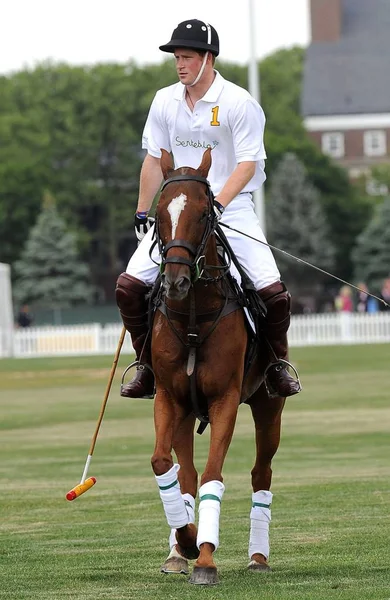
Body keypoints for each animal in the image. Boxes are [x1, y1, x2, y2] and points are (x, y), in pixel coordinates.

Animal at [149, 148, 284, 584]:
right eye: (159, 212)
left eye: (204, 212)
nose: (175, 281)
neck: (194, 315)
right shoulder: (170, 397)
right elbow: (165, 464)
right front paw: (187, 542)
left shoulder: (225, 398)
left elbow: (213, 476)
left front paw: (205, 559)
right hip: (187, 411)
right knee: (185, 473)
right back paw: (179, 549)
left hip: (268, 405)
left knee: (261, 473)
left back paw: (257, 556)